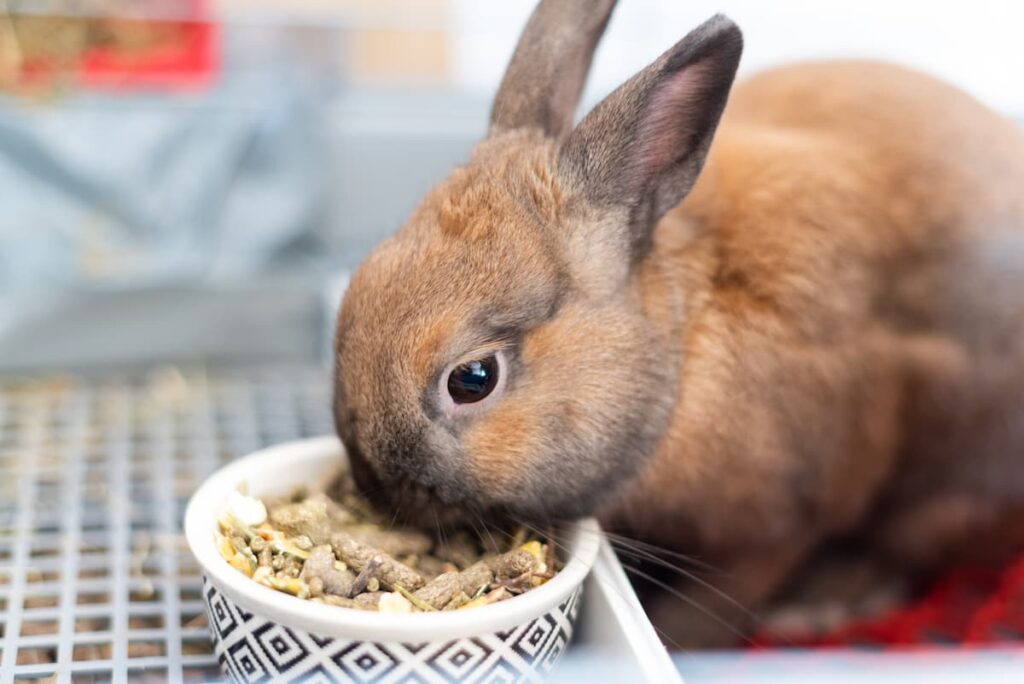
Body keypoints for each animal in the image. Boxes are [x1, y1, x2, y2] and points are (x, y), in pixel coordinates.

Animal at [333, 0, 1024, 647]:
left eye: (473, 378)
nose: (373, 488)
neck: (681, 364)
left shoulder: (779, 526)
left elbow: (739, 589)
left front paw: (676, 634)